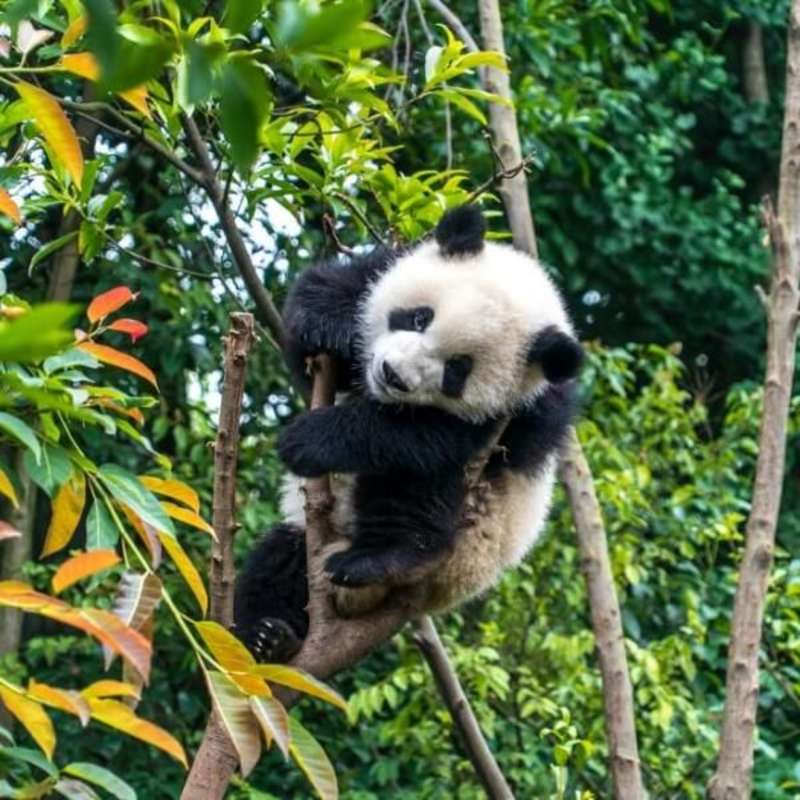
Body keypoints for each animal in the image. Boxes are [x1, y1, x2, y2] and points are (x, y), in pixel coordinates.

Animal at [234, 205, 583, 662]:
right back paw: (268, 637)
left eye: (457, 370)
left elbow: (424, 436)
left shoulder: (522, 411)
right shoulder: (383, 266)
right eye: (420, 317)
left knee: (417, 484)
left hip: (468, 543)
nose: (392, 374)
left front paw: (310, 440)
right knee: (276, 558)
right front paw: (333, 330)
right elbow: (319, 305)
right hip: (307, 542)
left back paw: (384, 557)